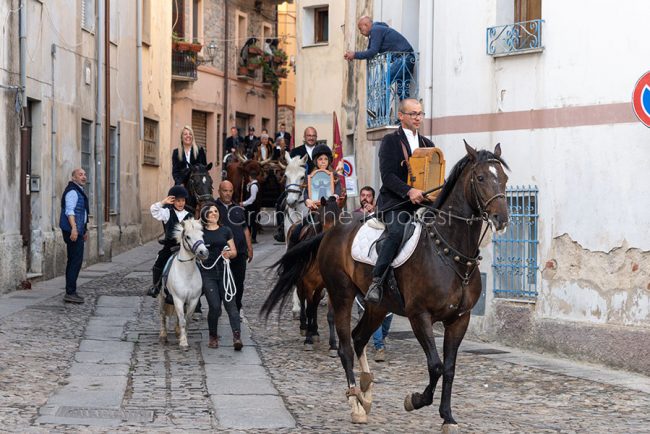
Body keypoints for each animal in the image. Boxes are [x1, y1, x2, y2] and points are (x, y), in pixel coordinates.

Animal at [158, 219, 206, 348]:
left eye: (202, 235)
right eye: (188, 237)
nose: (204, 252)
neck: (186, 273)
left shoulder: (193, 300)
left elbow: (187, 319)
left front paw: (182, 335)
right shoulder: (178, 299)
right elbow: (182, 320)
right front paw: (183, 342)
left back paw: (177, 331)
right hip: (162, 297)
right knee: (163, 314)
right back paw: (163, 335)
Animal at [260, 143, 508, 430]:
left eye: (504, 178)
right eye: (480, 178)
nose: (501, 218)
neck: (448, 252)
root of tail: (330, 232)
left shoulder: (459, 319)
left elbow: (449, 368)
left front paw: (447, 416)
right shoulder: (419, 315)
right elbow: (435, 365)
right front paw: (415, 400)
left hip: (376, 306)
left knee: (358, 338)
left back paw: (365, 392)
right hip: (341, 295)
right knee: (346, 346)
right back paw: (356, 403)